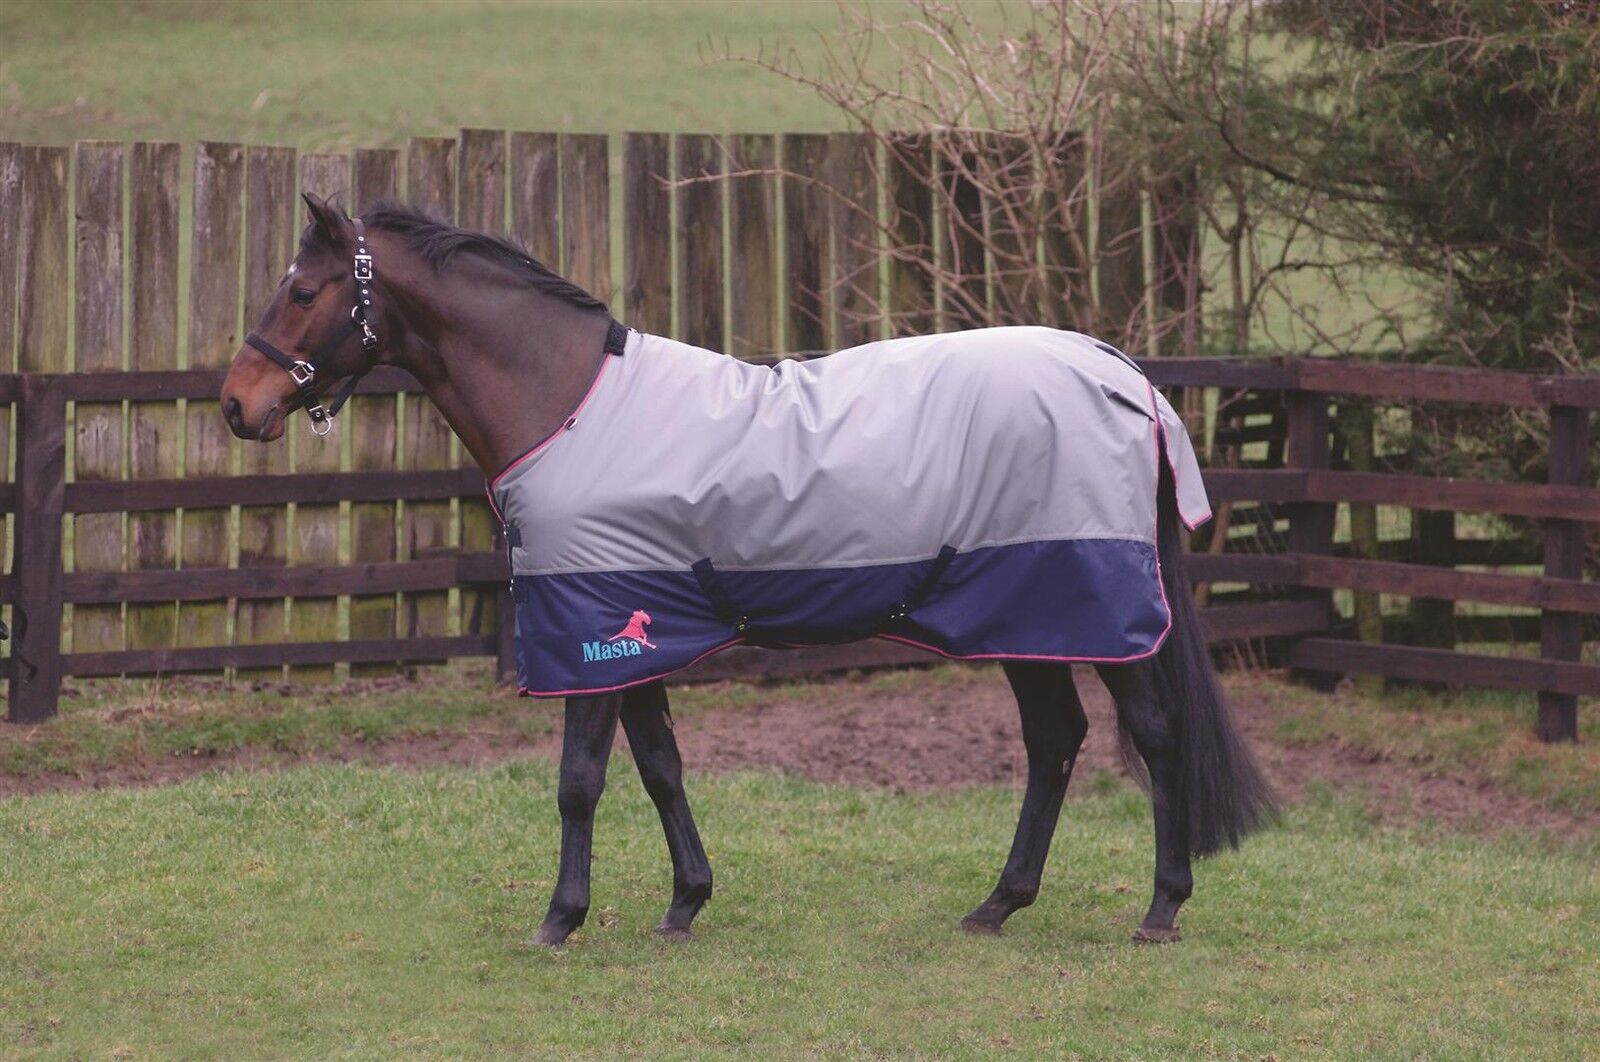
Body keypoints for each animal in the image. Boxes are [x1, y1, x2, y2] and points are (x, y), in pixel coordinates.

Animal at [221, 193, 1275, 947]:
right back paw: (998, 905)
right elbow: (659, 767)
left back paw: (1161, 909)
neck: (567, 401)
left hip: (1088, 604)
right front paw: (685, 903)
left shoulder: (591, 631)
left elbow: (579, 779)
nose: (238, 403)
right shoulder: (633, 632)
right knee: (1055, 740)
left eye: (303, 292)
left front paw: (560, 920)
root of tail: (1119, 372)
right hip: (1024, 613)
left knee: (1153, 736)